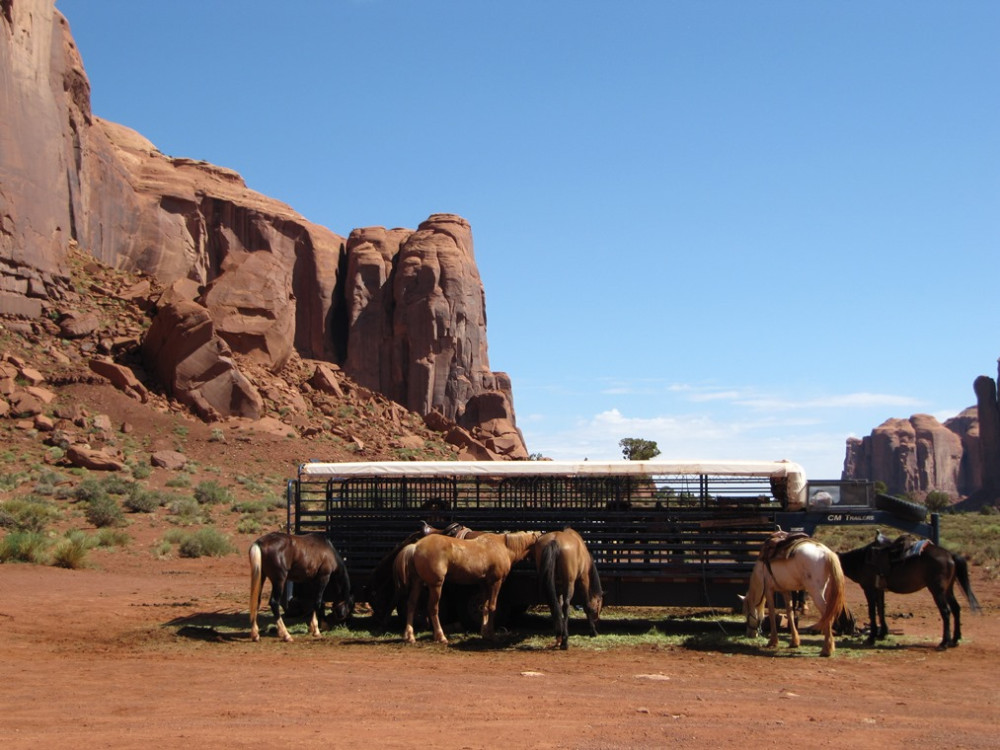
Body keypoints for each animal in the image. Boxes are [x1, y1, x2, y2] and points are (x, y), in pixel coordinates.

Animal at [400, 528, 540, 648]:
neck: (503, 547)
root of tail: (416, 546)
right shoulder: (496, 582)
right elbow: (492, 607)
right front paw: (492, 635)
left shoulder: (484, 583)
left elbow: (484, 607)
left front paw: (485, 633)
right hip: (436, 585)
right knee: (432, 608)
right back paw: (441, 637)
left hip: (418, 583)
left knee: (411, 604)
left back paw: (410, 637)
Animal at [836, 532, 984, 648]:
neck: (861, 560)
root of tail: (950, 555)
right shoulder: (879, 590)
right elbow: (881, 610)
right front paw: (882, 634)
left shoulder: (869, 589)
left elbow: (872, 612)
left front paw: (872, 637)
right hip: (948, 590)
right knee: (956, 609)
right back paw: (955, 639)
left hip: (937, 590)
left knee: (946, 612)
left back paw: (944, 643)